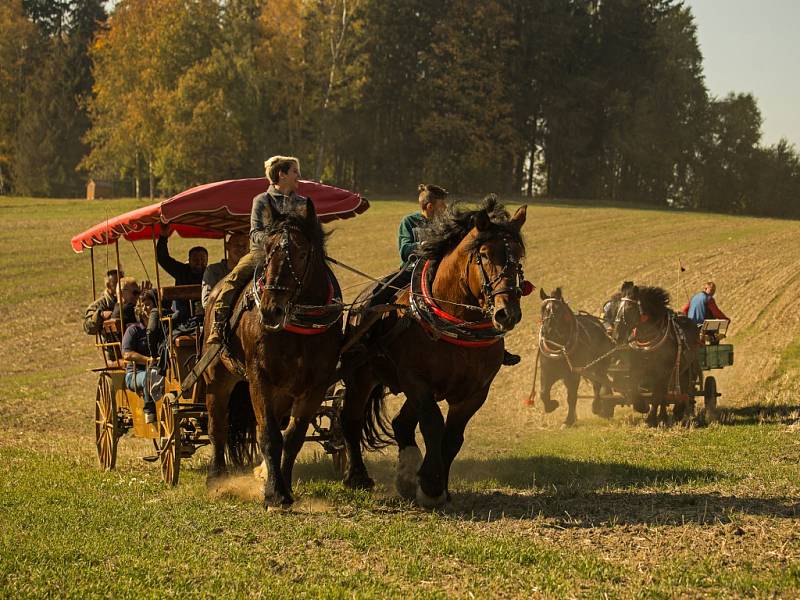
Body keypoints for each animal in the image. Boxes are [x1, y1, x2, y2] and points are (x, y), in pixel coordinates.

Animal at [203, 197, 340, 506]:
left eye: (301, 253)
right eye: (267, 250)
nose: (270, 309)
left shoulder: (314, 386)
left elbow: (292, 438)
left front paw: (283, 487)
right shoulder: (259, 378)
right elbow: (269, 436)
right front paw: (274, 494)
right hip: (217, 378)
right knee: (217, 425)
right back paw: (216, 477)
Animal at [342, 199, 524, 508]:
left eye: (519, 257)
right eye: (484, 255)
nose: (507, 313)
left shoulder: (475, 392)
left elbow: (452, 437)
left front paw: (437, 487)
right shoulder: (416, 381)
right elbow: (433, 425)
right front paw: (430, 484)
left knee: (401, 424)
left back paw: (406, 477)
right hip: (361, 376)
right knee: (351, 419)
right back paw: (357, 476)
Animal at [536, 288, 616, 424]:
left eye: (558, 309)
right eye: (542, 309)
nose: (547, 331)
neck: (559, 347)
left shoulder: (573, 374)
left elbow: (571, 397)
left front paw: (568, 420)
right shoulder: (547, 372)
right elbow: (543, 393)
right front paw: (552, 405)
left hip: (597, 365)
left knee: (598, 384)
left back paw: (597, 407)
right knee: (599, 382)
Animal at [612, 286, 700, 426]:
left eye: (630, 308)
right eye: (617, 308)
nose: (616, 335)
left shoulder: (663, 371)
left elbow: (657, 395)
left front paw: (654, 418)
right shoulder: (638, 368)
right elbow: (634, 386)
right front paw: (641, 406)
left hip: (686, 368)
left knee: (684, 389)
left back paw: (678, 413)